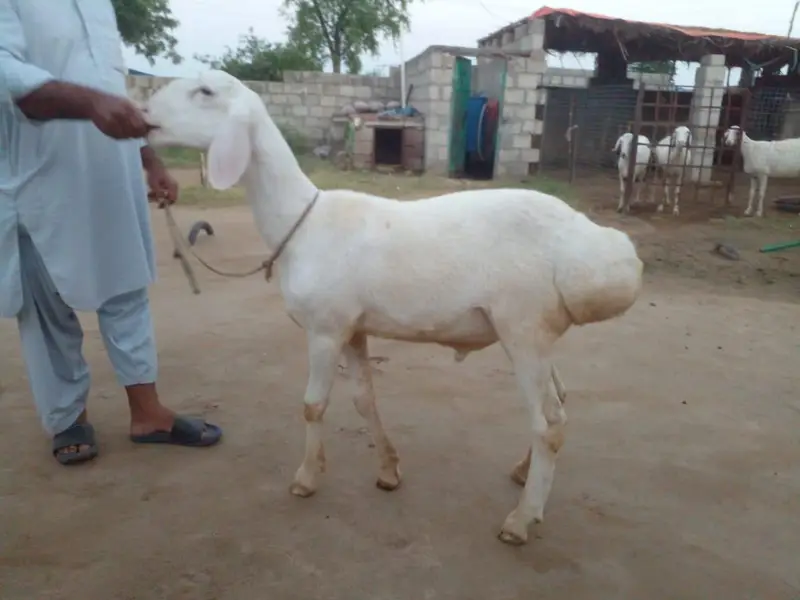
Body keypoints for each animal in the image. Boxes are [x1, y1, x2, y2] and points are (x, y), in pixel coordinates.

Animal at [142, 70, 644, 546]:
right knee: (560, 403)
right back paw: (524, 475)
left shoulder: (324, 327)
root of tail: (595, 246)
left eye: (206, 91)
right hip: (537, 332)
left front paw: (306, 478)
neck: (302, 222)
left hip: (523, 327)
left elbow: (313, 406)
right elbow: (365, 399)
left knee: (549, 425)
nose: (144, 112)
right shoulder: (353, 327)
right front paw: (388, 471)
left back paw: (521, 520)